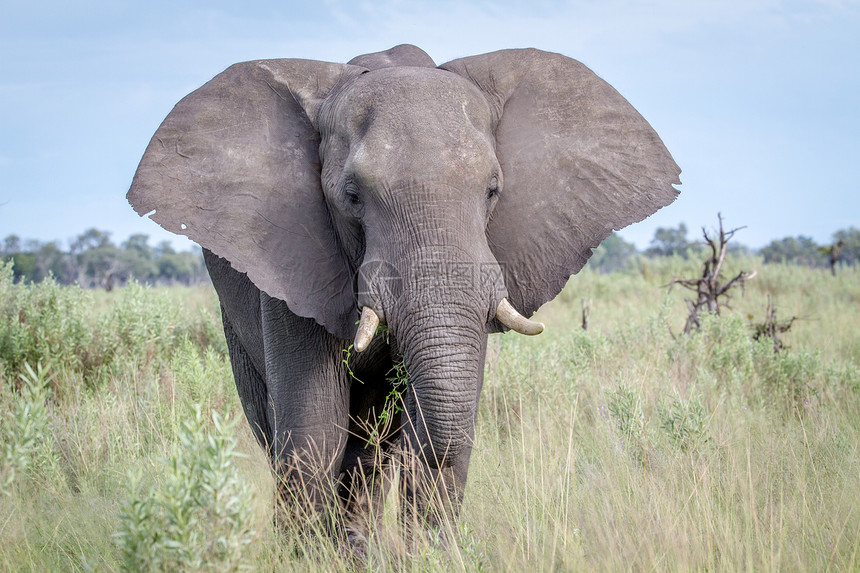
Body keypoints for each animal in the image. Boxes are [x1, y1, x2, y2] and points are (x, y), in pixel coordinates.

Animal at [127, 43, 680, 540]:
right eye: (352, 197)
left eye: (493, 191)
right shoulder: (293, 259)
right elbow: (313, 432)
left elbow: (442, 424)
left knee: (370, 451)